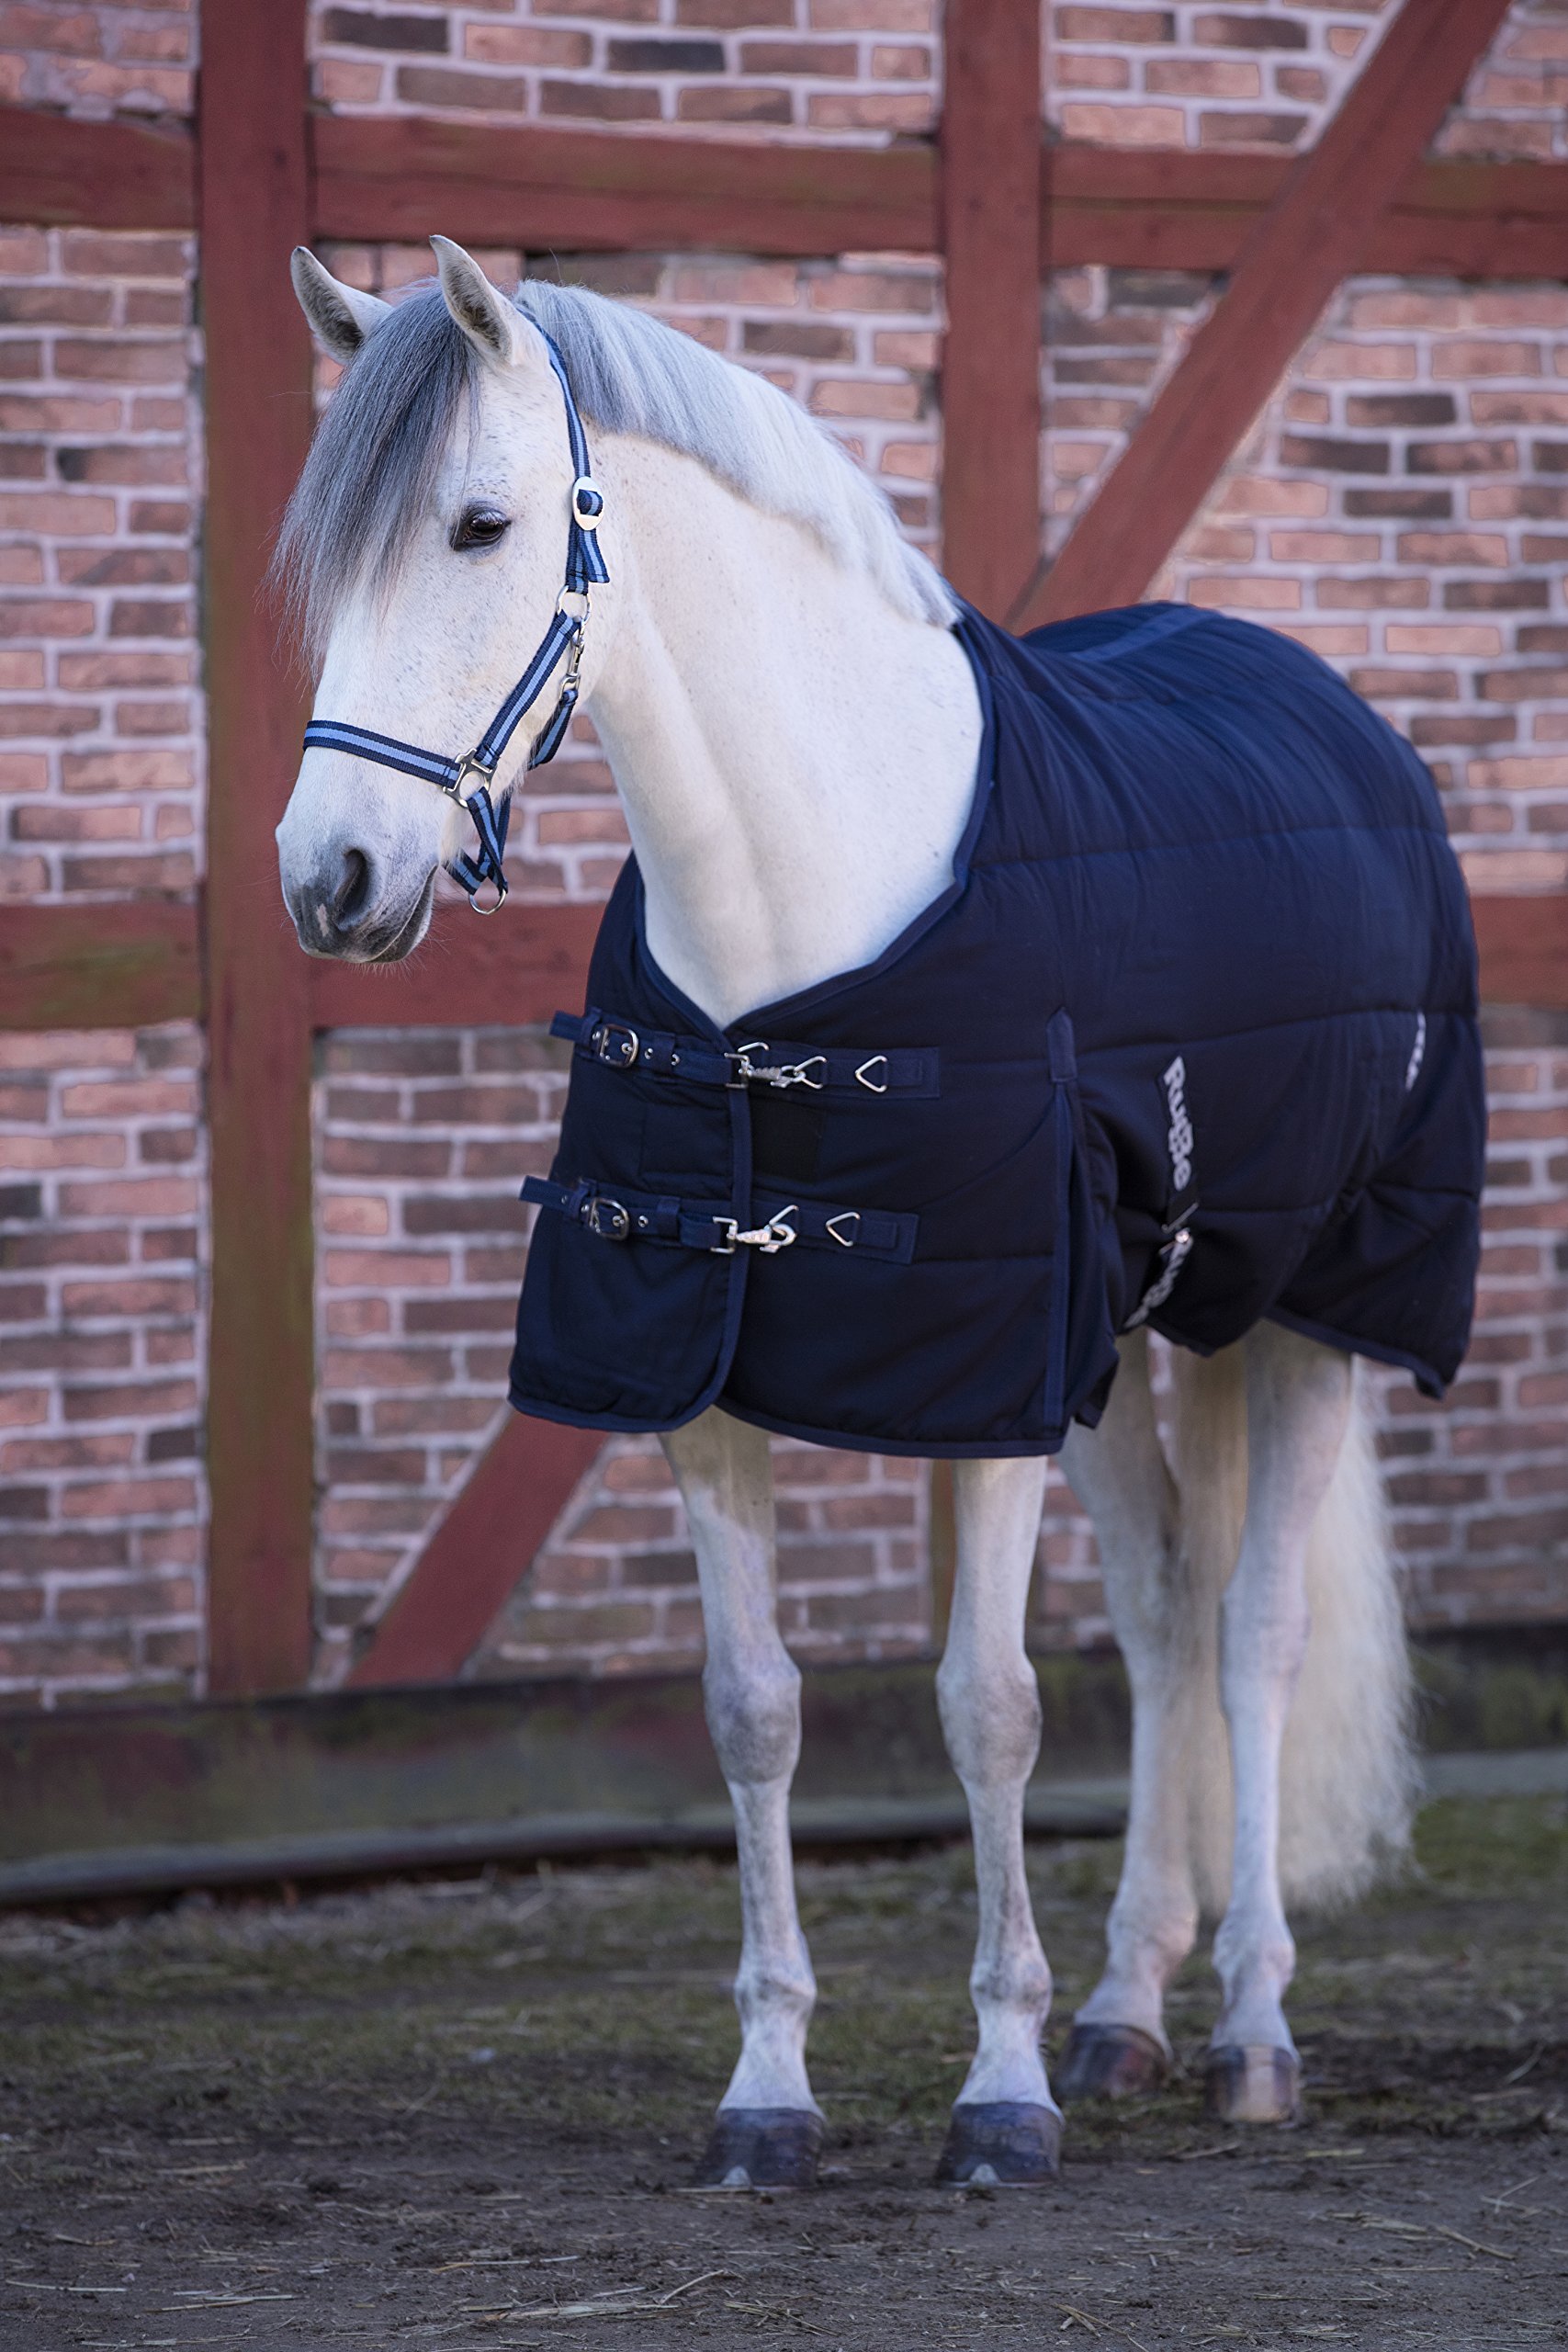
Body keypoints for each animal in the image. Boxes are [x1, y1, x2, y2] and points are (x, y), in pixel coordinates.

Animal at [273, 239, 1481, 2191]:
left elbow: (987, 1709)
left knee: (1251, 1633)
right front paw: (769, 2095)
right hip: (1115, 1341)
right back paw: (1125, 2010)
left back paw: (1247, 2029)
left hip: (1306, 1320)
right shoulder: (695, 1385)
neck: (798, 912)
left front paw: (998, 2094)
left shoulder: (979, 1391)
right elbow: (752, 1710)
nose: (333, 880)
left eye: (479, 523)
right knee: (1164, 1612)